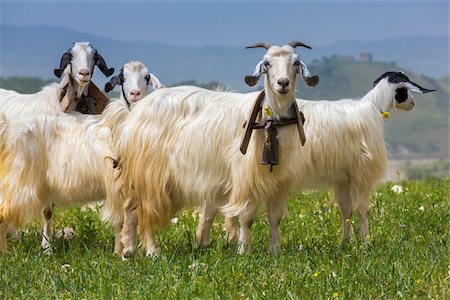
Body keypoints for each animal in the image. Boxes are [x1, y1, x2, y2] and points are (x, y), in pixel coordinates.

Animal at [108, 39, 318, 256]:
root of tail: (133, 115)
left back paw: (129, 251)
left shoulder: (279, 182)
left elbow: (275, 218)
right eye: (266, 63)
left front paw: (274, 251)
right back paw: (152, 252)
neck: (270, 118)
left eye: (295, 62)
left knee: (130, 207)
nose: (283, 83)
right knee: (146, 211)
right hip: (149, 174)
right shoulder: (244, 178)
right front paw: (244, 250)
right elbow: (246, 218)